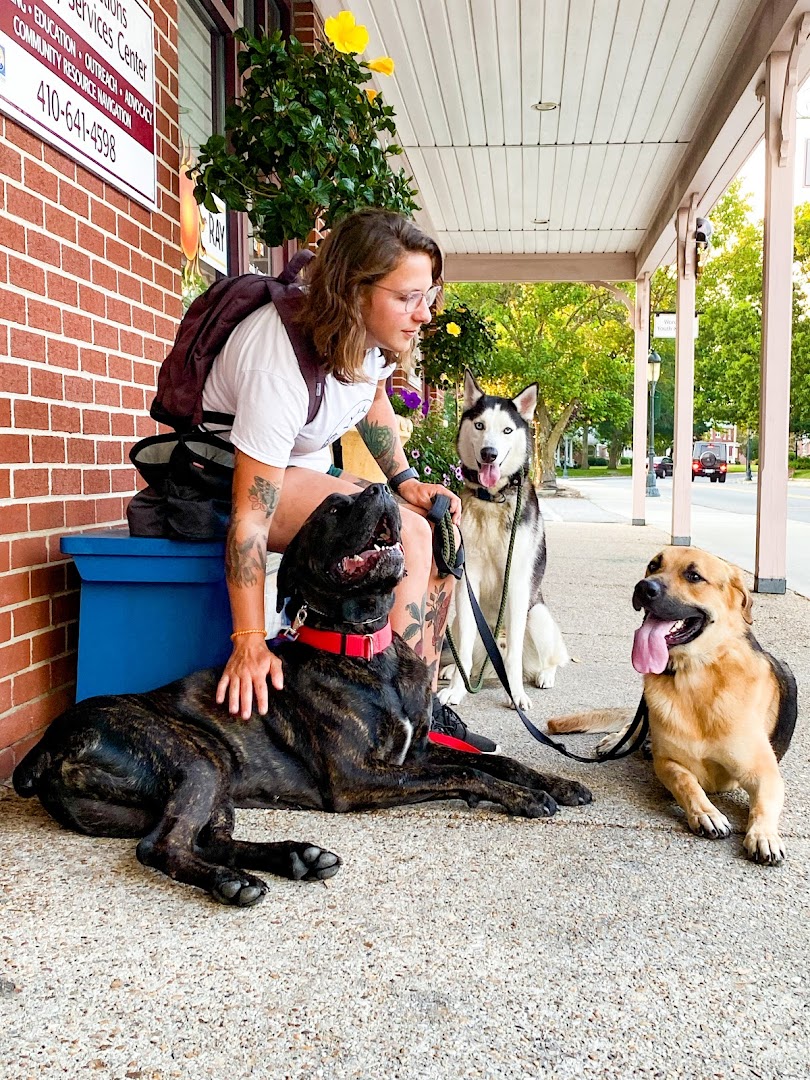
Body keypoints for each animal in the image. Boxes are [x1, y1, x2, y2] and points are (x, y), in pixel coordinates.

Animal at [15, 486, 591, 907]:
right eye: (334, 508)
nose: (382, 487)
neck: (368, 649)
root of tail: (45, 748)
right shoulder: (358, 779)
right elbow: (469, 770)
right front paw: (523, 798)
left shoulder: (415, 754)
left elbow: (500, 761)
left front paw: (557, 782)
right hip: (195, 759)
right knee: (162, 845)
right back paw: (233, 883)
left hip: (214, 779)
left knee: (208, 837)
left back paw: (296, 857)